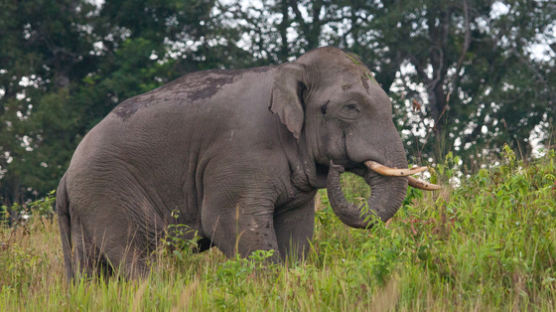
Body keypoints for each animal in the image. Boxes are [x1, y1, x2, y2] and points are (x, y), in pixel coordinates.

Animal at [56, 45, 438, 278]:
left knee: (94, 269)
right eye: (351, 108)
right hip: (109, 191)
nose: (336, 167)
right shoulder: (238, 156)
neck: (288, 70)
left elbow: (296, 231)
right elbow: (232, 223)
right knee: (138, 257)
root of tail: (66, 175)